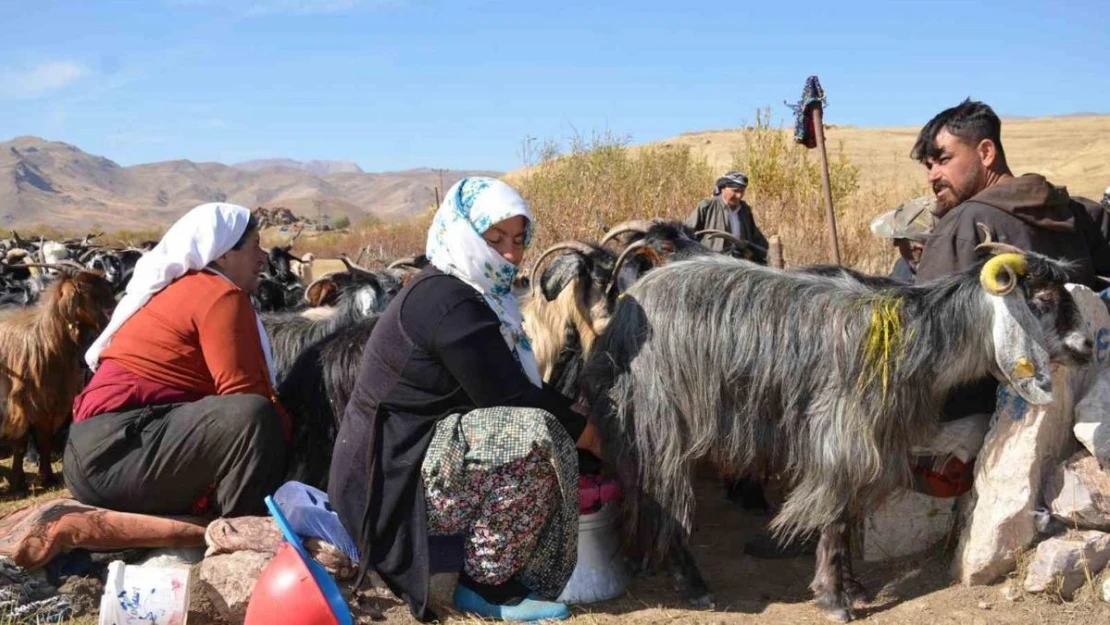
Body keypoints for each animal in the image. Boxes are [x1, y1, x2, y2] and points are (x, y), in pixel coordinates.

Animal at [0, 268, 114, 495]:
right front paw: (20, 482)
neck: (46, 340)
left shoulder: (48, 402)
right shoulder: (23, 405)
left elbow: (44, 441)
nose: (111, 314)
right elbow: (22, 444)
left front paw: (46, 478)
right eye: (86, 293)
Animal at [581, 245, 1092, 621]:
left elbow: (846, 519)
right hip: (660, 420)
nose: (1088, 345)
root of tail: (624, 308)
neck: (910, 339)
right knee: (663, 495)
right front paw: (833, 599)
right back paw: (692, 584)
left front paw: (853, 586)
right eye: (1042, 300)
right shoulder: (839, 440)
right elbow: (833, 519)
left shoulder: (869, 444)